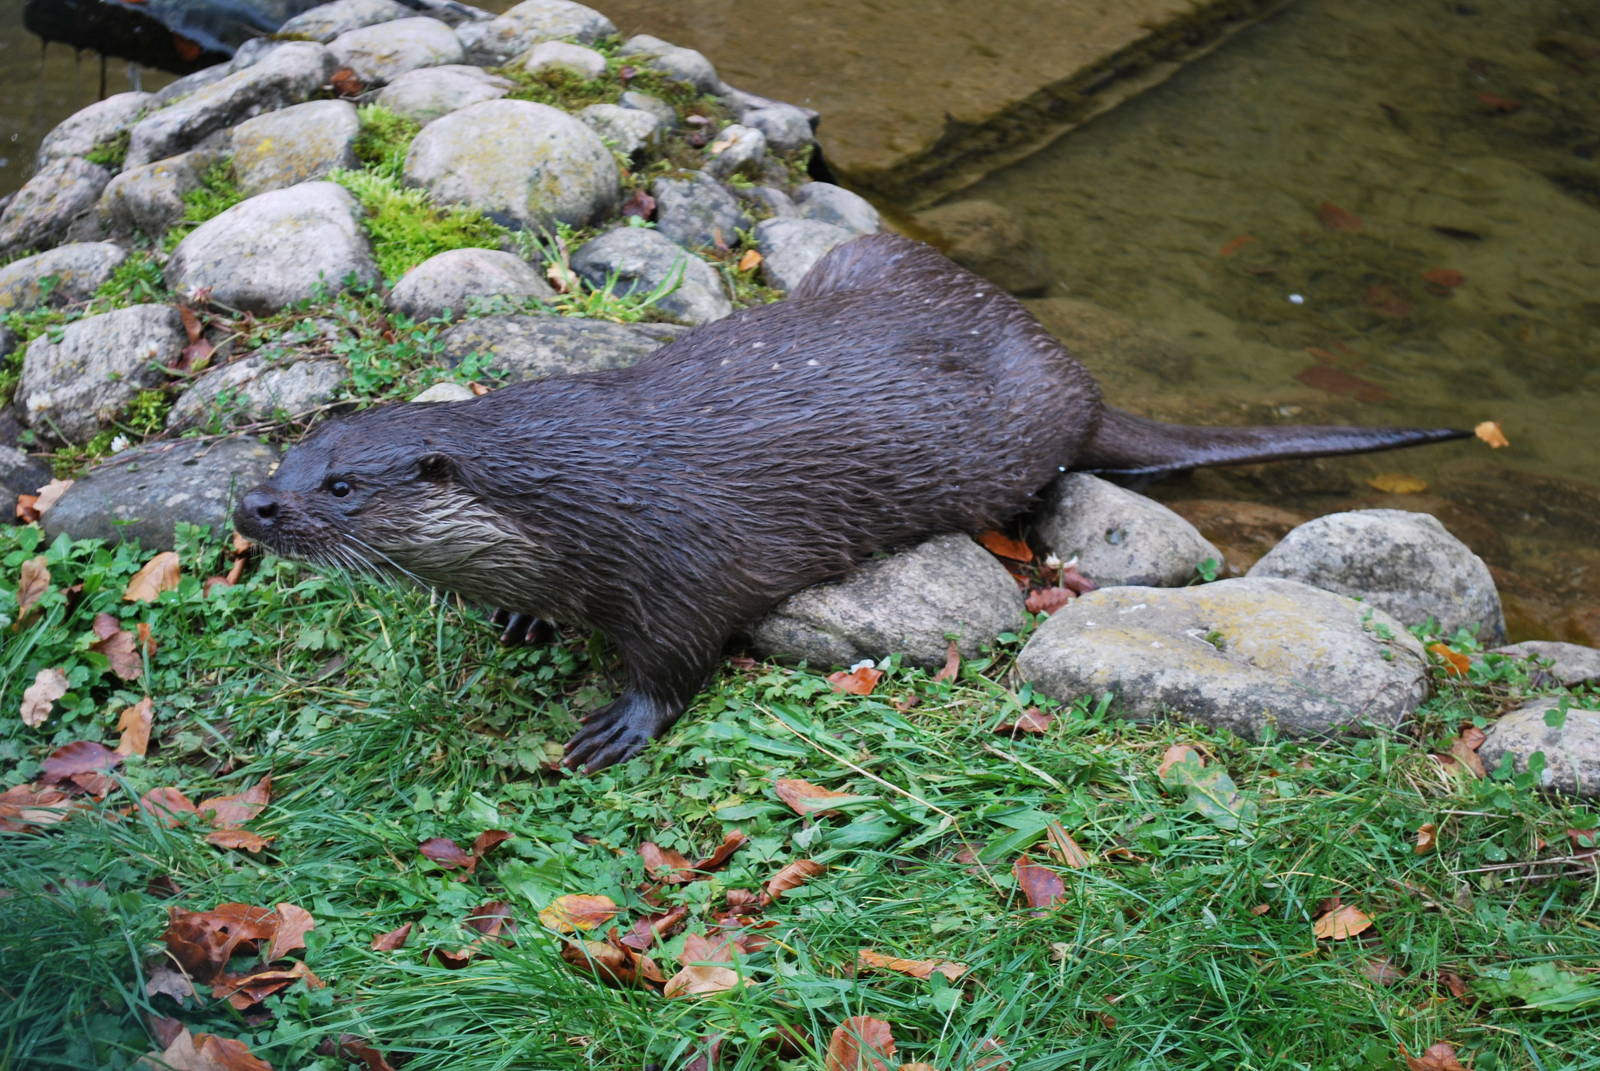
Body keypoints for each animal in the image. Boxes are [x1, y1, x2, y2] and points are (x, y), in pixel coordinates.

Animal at [234, 234, 1467, 770]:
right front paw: (523, 616)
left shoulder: (677, 559)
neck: (575, 494)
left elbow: (678, 658)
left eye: (339, 488)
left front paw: (617, 726)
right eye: (292, 456)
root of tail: (1072, 372)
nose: (252, 508)